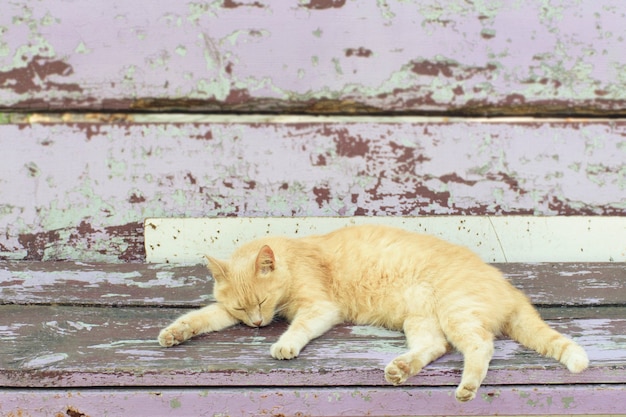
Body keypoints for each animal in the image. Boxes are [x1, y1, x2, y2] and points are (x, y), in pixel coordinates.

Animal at [158, 223, 588, 402]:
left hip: (457, 312)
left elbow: (298, 327)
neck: (295, 259)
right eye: (241, 307)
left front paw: (284, 344)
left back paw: (466, 387)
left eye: (261, 303)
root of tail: (510, 288)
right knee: (436, 347)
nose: (257, 323)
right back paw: (401, 369)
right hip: (421, 320)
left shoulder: (320, 307)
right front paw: (174, 333)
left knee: (480, 346)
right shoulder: (224, 313)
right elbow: (200, 318)